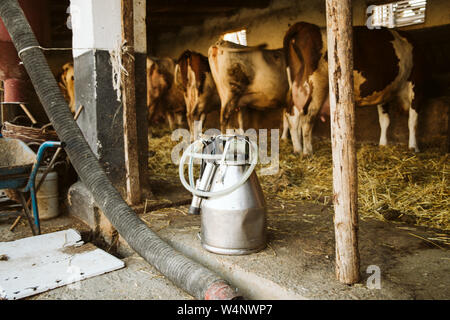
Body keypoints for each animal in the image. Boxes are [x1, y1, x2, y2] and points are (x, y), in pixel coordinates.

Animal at [284, 21, 422, 155]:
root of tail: (306, 26)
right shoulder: (417, 87)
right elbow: (413, 121)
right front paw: (414, 147)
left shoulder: (384, 94)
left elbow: (384, 120)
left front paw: (383, 144)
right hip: (317, 87)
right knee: (307, 118)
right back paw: (307, 152)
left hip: (299, 88)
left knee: (292, 115)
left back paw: (297, 150)